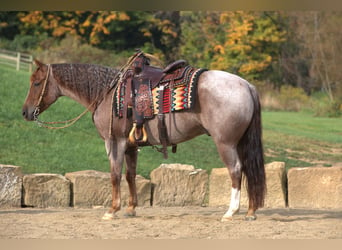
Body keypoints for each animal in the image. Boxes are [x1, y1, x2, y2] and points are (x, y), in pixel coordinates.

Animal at [22, 58, 268, 221]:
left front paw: (112, 211)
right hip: (240, 143)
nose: (25, 113)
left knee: (236, 171)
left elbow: (114, 175)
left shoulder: (115, 142)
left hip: (226, 143)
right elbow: (130, 176)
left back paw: (231, 212)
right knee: (248, 171)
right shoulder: (131, 146)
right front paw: (131, 209)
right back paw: (250, 212)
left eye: (36, 83)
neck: (108, 94)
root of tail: (246, 85)